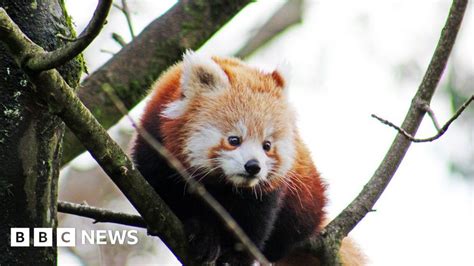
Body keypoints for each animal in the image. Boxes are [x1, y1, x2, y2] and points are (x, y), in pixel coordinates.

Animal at [131, 51, 362, 264]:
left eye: (267, 145)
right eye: (234, 140)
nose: (253, 166)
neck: (221, 184)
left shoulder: (267, 192)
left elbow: (254, 223)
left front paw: (235, 256)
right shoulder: (154, 145)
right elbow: (165, 196)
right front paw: (202, 231)